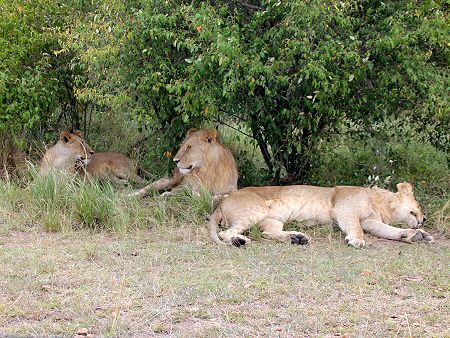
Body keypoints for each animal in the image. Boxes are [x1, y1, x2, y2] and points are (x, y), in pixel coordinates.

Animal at [209, 182, 434, 248]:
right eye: (419, 205)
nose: (424, 219)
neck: (381, 204)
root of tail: (222, 203)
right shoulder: (344, 208)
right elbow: (356, 227)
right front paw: (357, 240)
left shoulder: (371, 222)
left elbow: (390, 230)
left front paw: (416, 235)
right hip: (255, 211)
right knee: (225, 233)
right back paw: (240, 240)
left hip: (272, 221)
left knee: (267, 233)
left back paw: (297, 238)